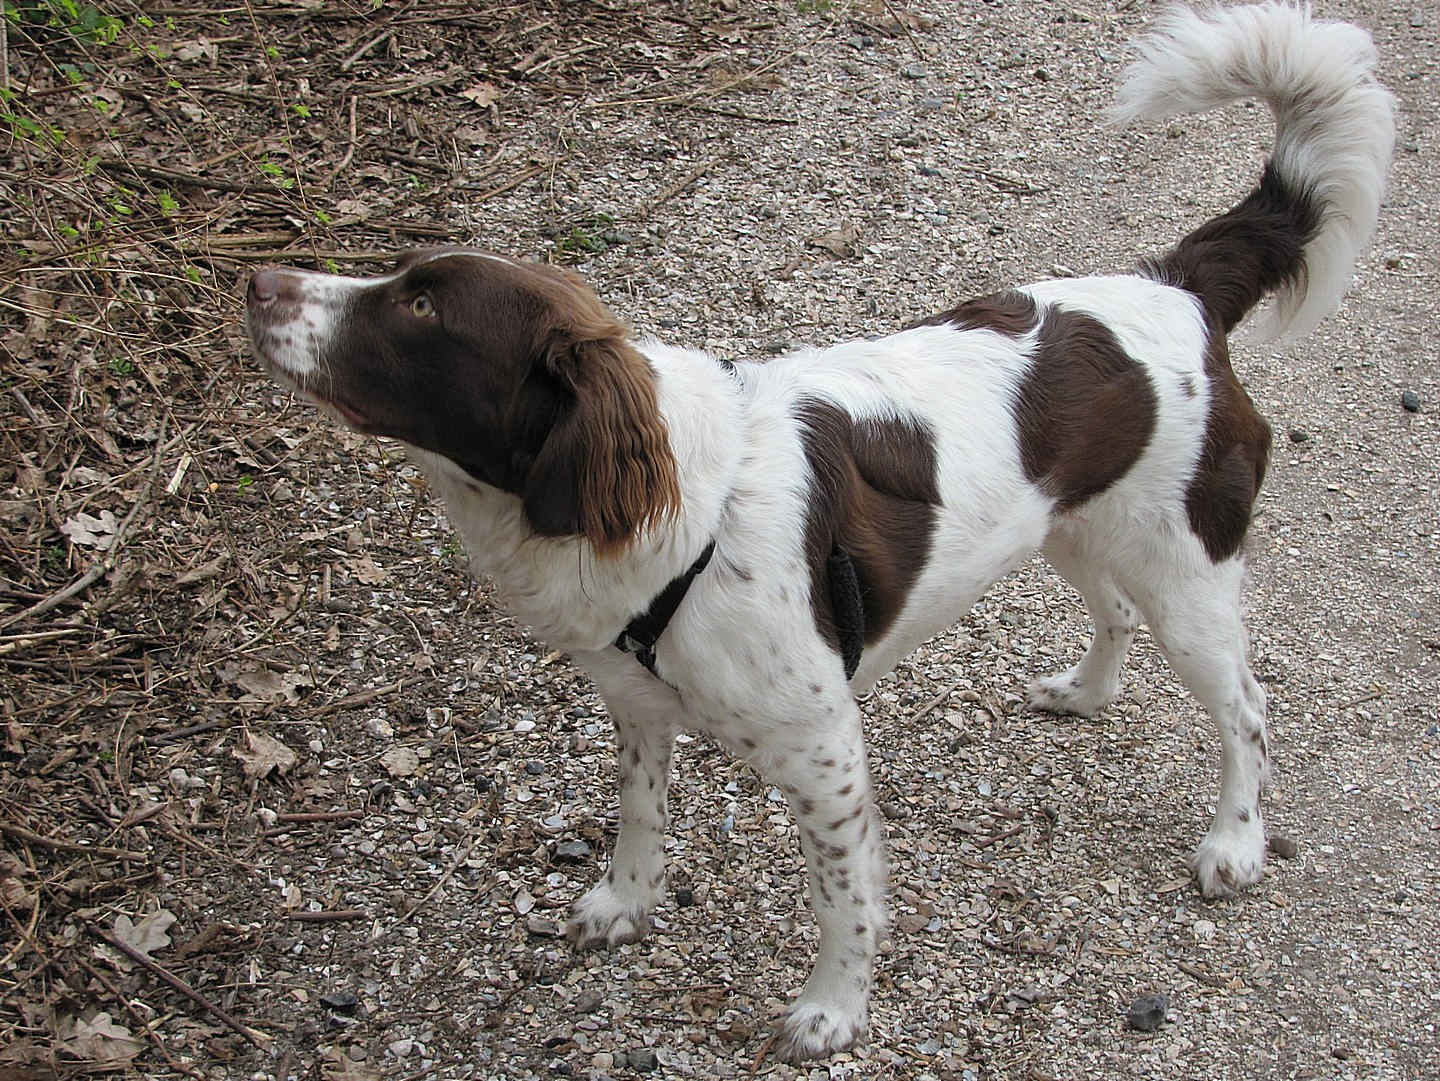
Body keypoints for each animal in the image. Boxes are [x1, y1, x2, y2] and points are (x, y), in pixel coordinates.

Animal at [246, 3, 1393, 1062]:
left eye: (422, 310)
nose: (258, 279)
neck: (679, 513)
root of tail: (1177, 285)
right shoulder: (636, 703)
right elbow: (639, 813)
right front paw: (628, 901)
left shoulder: (824, 746)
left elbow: (844, 896)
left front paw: (834, 1010)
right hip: (1077, 529)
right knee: (1112, 612)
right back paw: (1085, 692)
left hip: (1188, 570)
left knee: (1246, 708)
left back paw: (1235, 841)